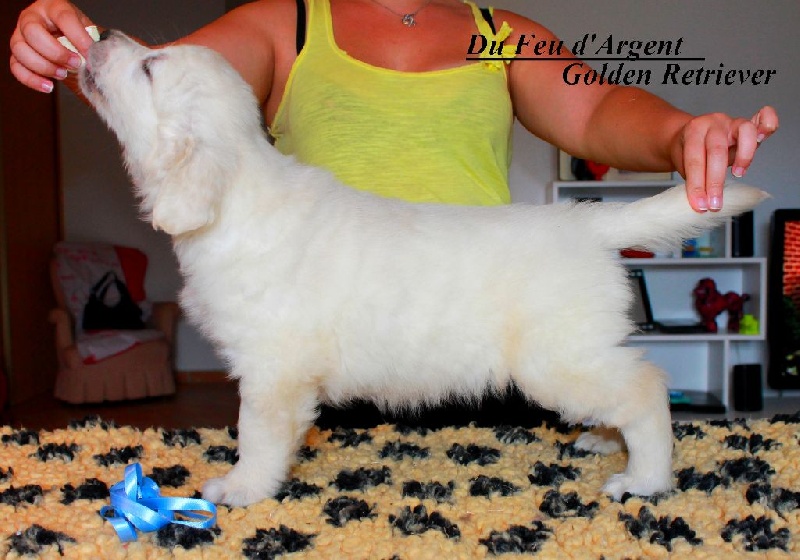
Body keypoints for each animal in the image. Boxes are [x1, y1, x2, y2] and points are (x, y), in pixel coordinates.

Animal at [79, 31, 767, 506]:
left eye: (150, 66)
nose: (101, 33)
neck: (234, 199)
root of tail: (589, 223)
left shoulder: (273, 369)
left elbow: (258, 434)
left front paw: (241, 489)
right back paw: (606, 440)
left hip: (557, 358)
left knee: (647, 389)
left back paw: (644, 478)